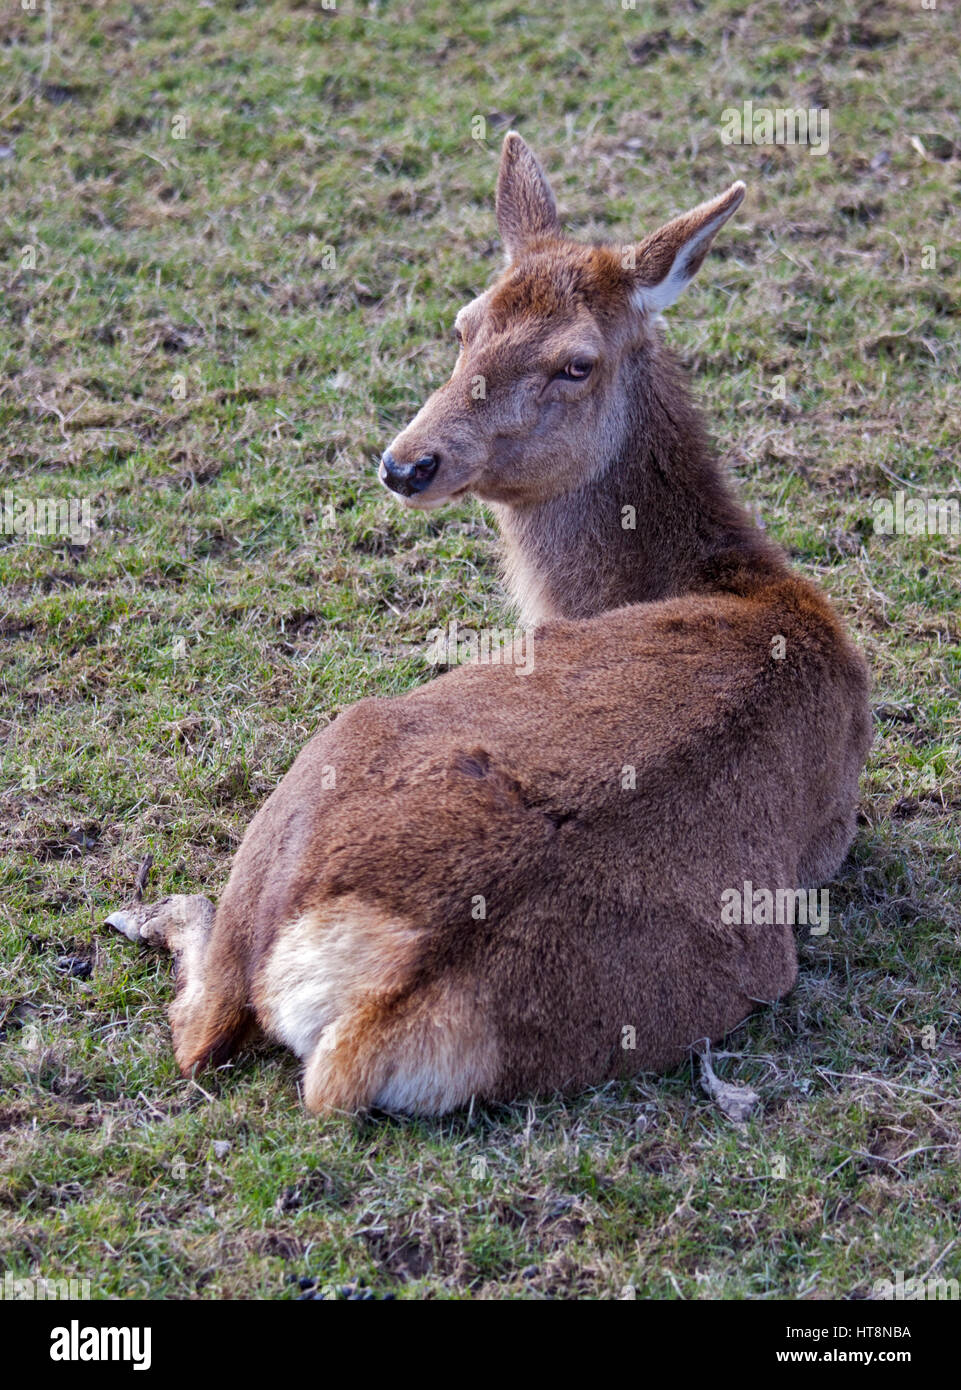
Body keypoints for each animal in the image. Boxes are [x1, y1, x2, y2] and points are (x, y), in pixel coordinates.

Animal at [105, 134, 872, 1116]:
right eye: (465, 322)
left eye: (576, 362)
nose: (407, 462)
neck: (740, 579)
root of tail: (373, 1004)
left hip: (334, 742)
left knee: (200, 1026)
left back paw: (155, 910)